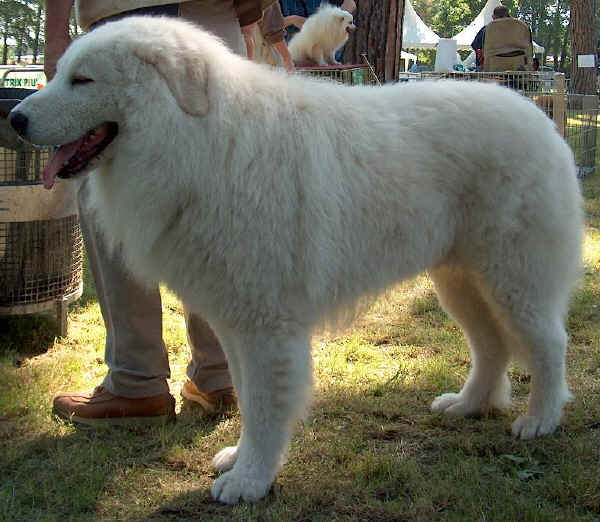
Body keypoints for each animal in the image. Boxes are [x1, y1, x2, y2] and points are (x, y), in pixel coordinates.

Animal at [9, 17, 580, 504]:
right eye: (59, 73)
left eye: (82, 80)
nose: (15, 118)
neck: (202, 141)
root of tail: (536, 115)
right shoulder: (236, 322)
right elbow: (246, 397)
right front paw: (240, 462)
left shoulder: (267, 327)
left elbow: (266, 407)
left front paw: (250, 481)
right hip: (460, 281)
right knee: (491, 347)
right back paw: (468, 405)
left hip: (514, 278)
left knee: (549, 345)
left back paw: (540, 420)